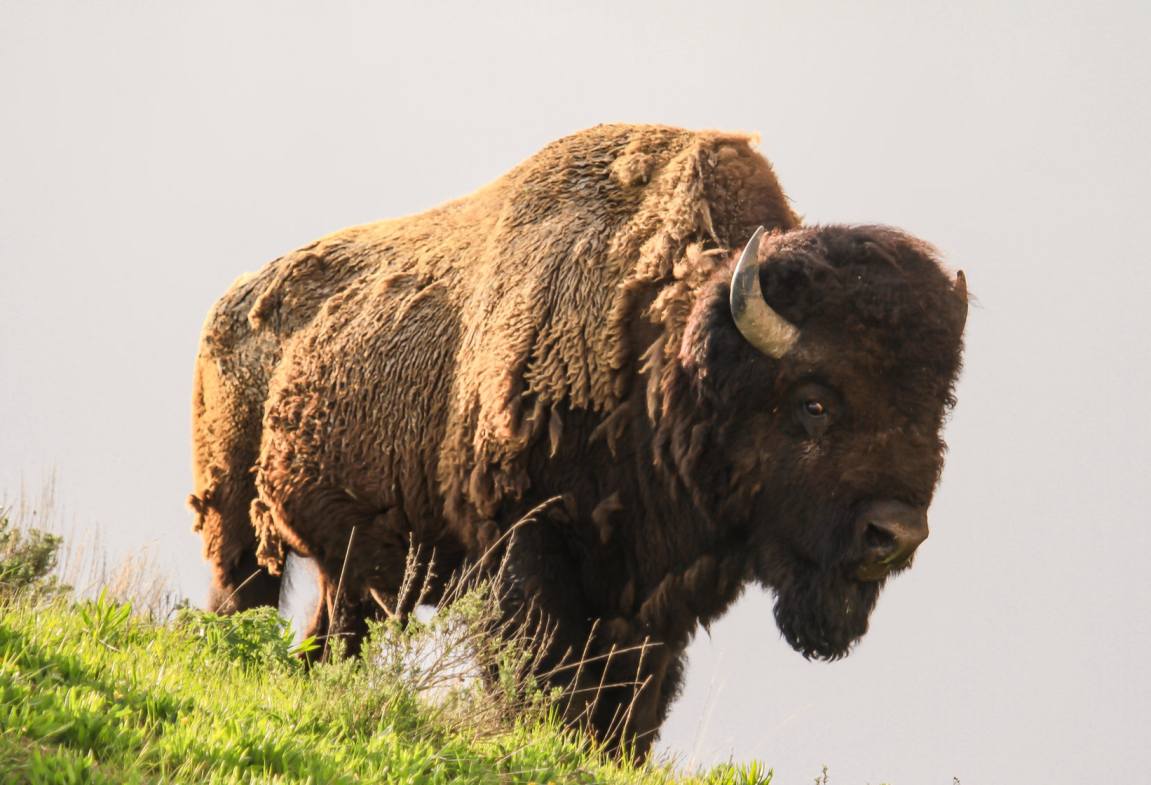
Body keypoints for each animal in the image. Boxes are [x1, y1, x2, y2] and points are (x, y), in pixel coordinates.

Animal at [188, 124, 967, 755]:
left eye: (936, 409)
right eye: (813, 402)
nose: (894, 535)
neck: (664, 358)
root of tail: (230, 305)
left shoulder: (652, 606)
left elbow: (630, 709)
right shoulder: (526, 551)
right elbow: (540, 678)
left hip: (355, 574)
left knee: (330, 637)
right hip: (234, 522)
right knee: (243, 597)